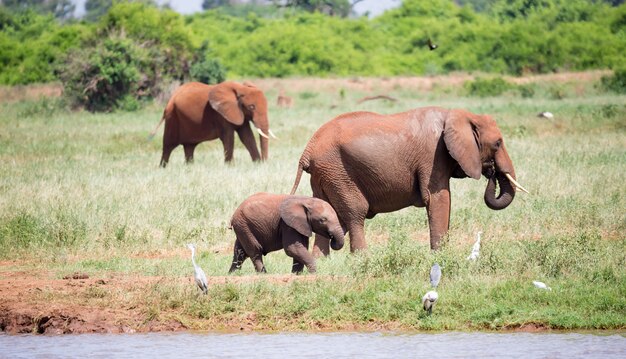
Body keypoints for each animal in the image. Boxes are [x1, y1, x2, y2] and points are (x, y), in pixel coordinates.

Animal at [290, 107, 524, 256]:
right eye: (498, 143)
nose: (491, 171)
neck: (459, 114)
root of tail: (307, 150)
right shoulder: (433, 155)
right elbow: (439, 198)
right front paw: (441, 257)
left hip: (326, 174)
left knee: (330, 213)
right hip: (337, 171)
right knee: (355, 212)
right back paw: (363, 260)